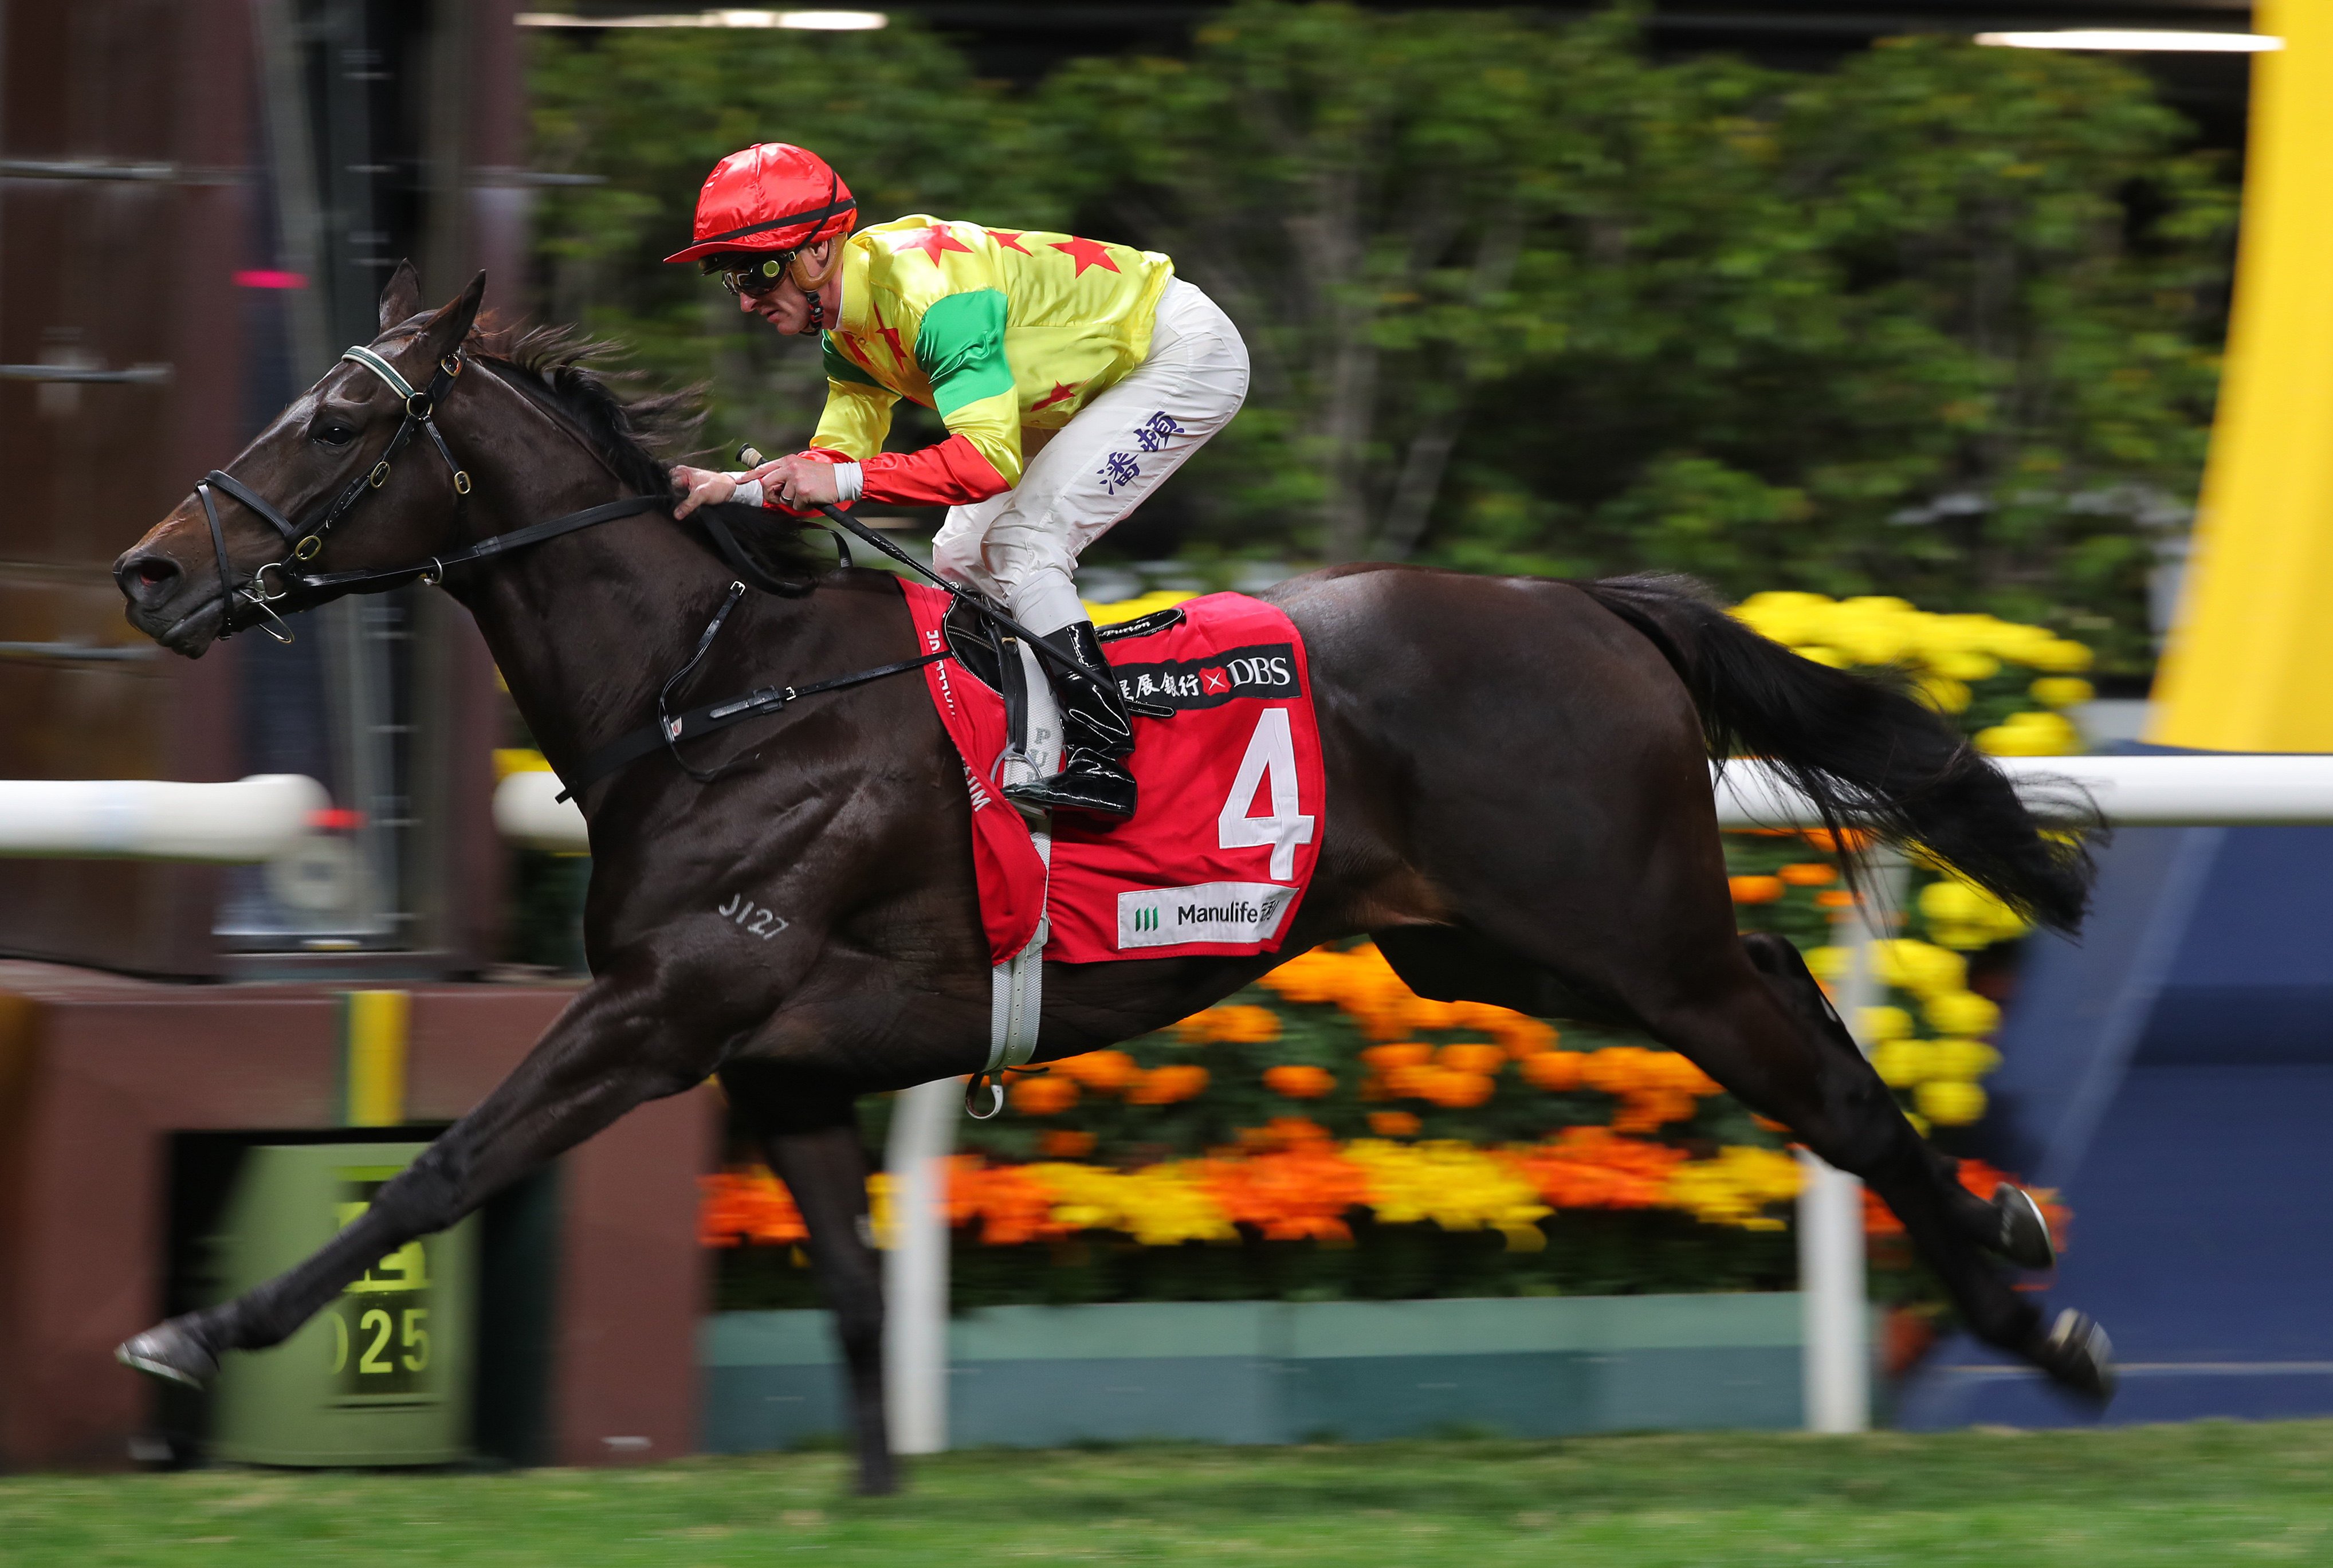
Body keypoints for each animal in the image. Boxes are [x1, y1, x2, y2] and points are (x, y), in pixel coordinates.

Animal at [109, 273, 2118, 1493]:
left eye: (337, 425)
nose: (147, 572)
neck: (714, 688)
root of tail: (1591, 605)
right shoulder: (783, 1065)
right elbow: (857, 1290)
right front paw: (871, 1489)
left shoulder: (664, 1011)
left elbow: (437, 1170)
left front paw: (197, 1332)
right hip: (1504, 954)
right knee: (1789, 999)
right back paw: (2020, 1250)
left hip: (1621, 932)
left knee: (1818, 1080)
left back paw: (2035, 1310)